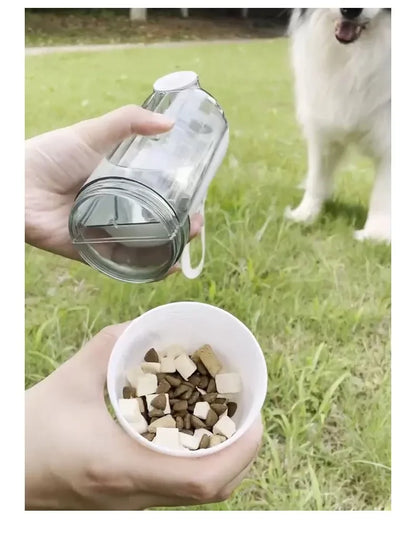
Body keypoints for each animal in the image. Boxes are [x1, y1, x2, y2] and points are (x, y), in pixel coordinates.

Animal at [284, 6, 392, 241]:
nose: (350, 10)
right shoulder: (324, 125)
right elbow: (317, 175)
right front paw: (305, 215)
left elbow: (383, 190)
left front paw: (374, 234)